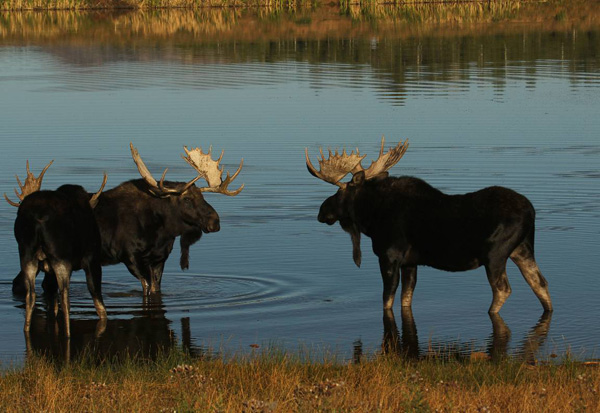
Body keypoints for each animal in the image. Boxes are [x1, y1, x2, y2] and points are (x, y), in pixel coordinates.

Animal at [5, 161, 108, 334]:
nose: (15, 284)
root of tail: (38, 218)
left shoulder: (49, 272)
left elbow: (51, 304)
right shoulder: (92, 259)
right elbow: (99, 302)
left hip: (27, 254)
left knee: (31, 296)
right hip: (61, 257)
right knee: (65, 298)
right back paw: (68, 333)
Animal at [310, 137, 552, 314]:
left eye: (339, 191)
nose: (321, 211)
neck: (370, 218)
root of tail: (531, 212)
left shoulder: (389, 256)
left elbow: (387, 300)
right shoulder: (410, 263)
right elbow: (406, 300)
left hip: (495, 255)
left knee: (503, 289)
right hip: (522, 250)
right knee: (540, 282)